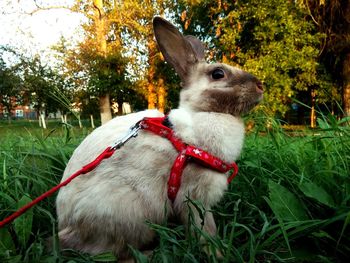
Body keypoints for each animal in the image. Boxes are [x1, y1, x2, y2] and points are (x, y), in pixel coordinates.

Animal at [56, 16, 262, 260]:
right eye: (218, 74)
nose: (261, 86)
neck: (200, 115)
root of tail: (67, 229)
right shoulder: (193, 197)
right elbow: (205, 230)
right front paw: (217, 253)